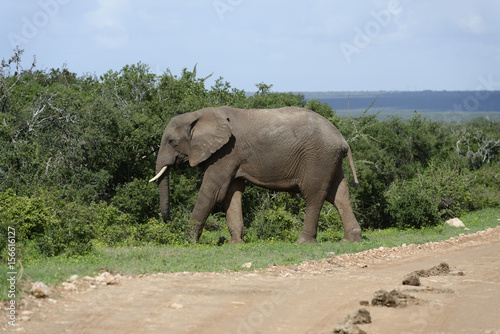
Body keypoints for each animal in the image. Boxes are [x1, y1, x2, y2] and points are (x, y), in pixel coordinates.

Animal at [150, 106, 362, 243]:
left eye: (171, 142)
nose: (169, 222)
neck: (199, 115)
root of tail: (343, 140)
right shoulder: (231, 156)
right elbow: (231, 193)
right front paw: (236, 244)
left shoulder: (226, 151)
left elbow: (213, 192)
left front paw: (189, 242)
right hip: (330, 160)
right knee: (340, 195)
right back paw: (350, 241)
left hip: (318, 158)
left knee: (314, 196)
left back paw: (303, 242)